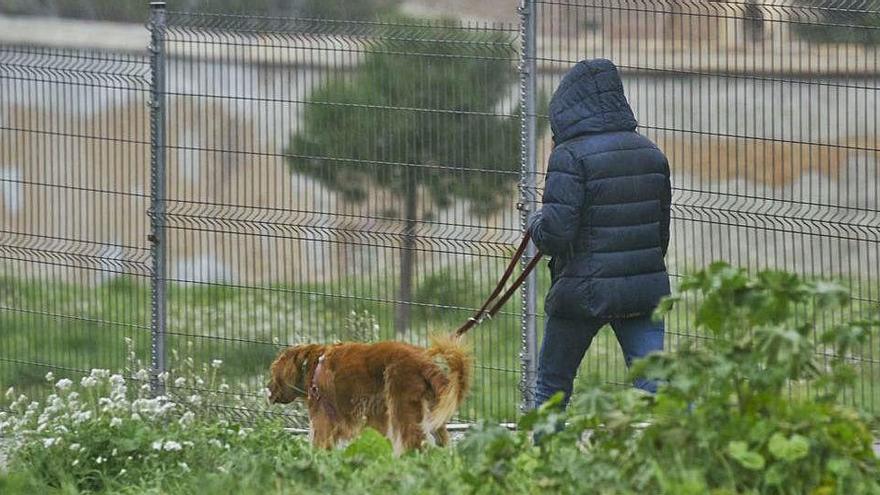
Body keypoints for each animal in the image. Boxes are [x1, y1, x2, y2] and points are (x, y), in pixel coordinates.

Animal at [268, 336, 470, 456]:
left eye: (272, 373)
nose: (267, 389)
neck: (313, 364)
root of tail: (424, 362)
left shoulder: (322, 419)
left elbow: (319, 445)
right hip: (431, 417)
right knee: (441, 443)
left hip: (402, 410)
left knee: (414, 443)